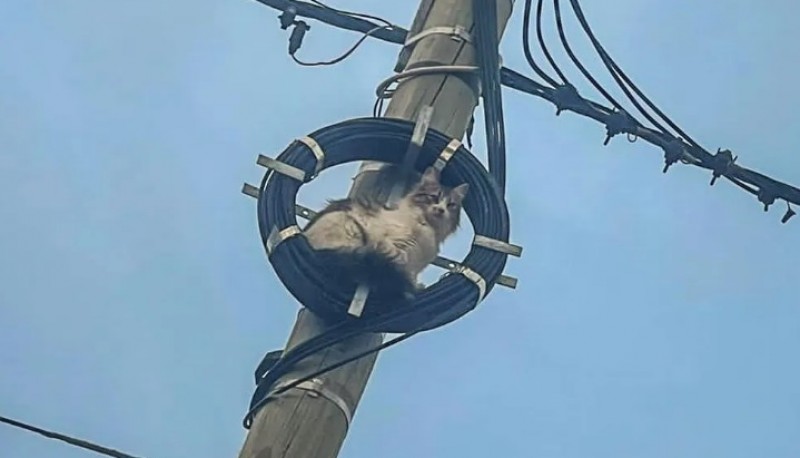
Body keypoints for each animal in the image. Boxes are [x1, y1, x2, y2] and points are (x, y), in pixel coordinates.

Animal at [304, 166, 468, 302]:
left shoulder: (415, 262)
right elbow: (395, 254)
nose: (440, 210)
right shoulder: (385, 239)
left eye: (451, 205)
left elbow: (409, 274)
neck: (425, 227)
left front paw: (414, 285)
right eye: (434, 197)